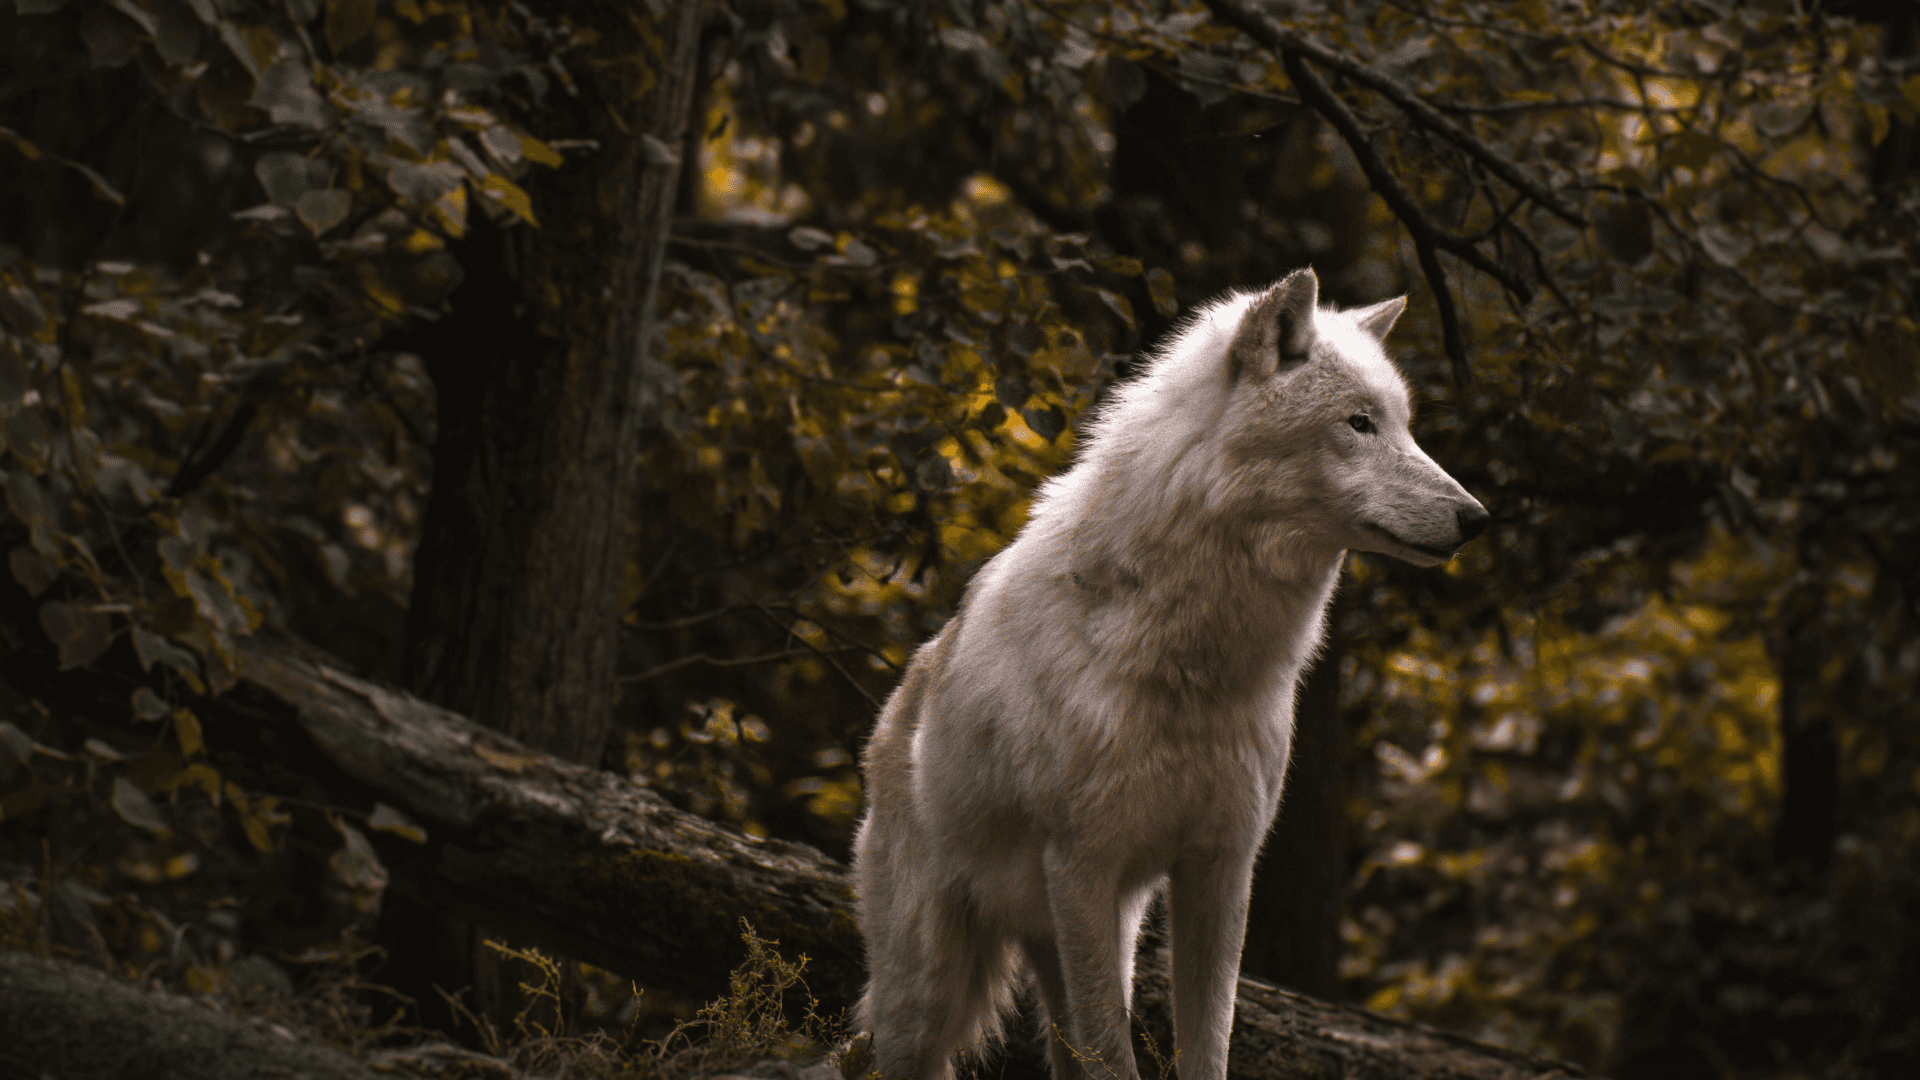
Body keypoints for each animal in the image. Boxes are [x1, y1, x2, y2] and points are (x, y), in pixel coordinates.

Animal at [851, 267, 1488, 1080]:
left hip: (1090, 940)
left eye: (1405, 425)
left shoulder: (1221, 868)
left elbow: (1204, 1047)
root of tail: (896, 705)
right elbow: (1113, 1056)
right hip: (932, 989)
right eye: (1359, 423)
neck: (1196, 668)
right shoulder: (1082, 867)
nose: (1477, 518)